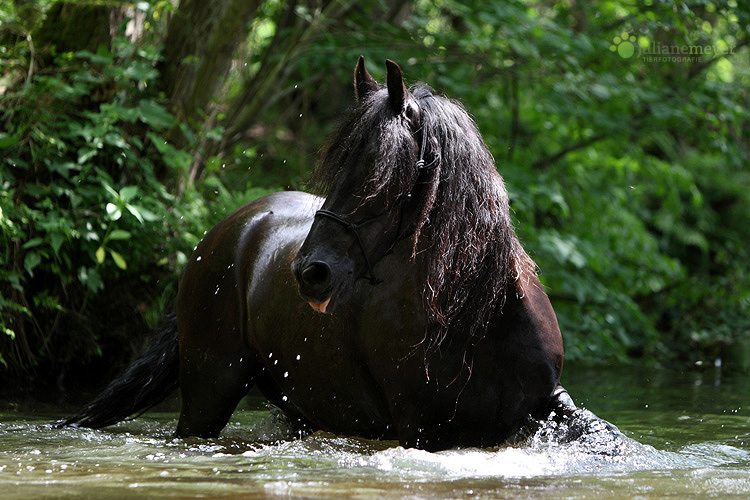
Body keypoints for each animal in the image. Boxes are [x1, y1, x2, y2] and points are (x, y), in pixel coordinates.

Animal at [63, 56, 592, 452]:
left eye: (381, 173)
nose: (310, 273)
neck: (476, 320)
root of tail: (230, 228)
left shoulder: (546, 405)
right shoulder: (422, 431)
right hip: (208, 392)